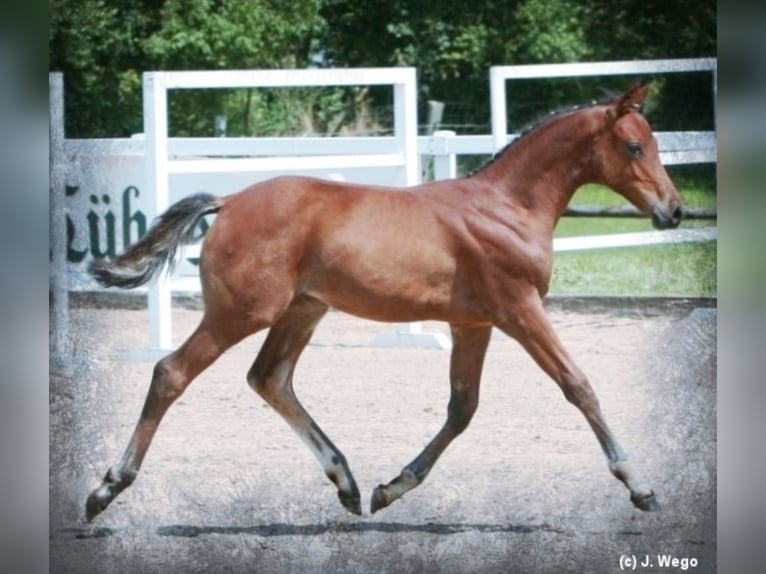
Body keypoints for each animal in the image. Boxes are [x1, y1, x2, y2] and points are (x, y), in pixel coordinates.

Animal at [85, 84, 684, 520]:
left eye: (655, 145)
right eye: (634, 147)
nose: (674, 211)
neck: (507, 207)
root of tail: (229, 201)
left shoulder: (473, 324)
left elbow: (462, 408)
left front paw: (391, 488)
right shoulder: (519, 309)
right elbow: (578, 385)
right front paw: (640, 487)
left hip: (303, 309)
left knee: (270, 378)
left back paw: (347, 484)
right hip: (243, 312)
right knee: (171, 372)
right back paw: (106, 489)